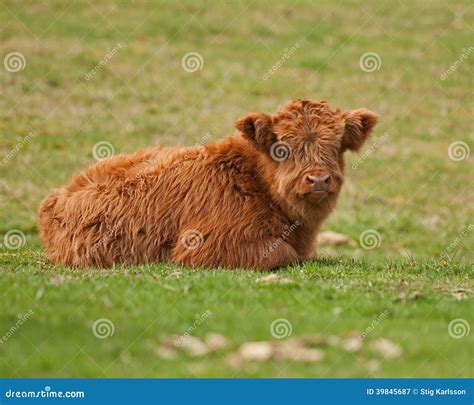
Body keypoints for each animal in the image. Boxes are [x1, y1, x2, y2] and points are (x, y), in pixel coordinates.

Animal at [38, 98, 378, 268]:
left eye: (335, 146)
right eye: (282, 148)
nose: (318, 179)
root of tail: (58, 194)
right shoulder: (205, 244)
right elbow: (284, 254)